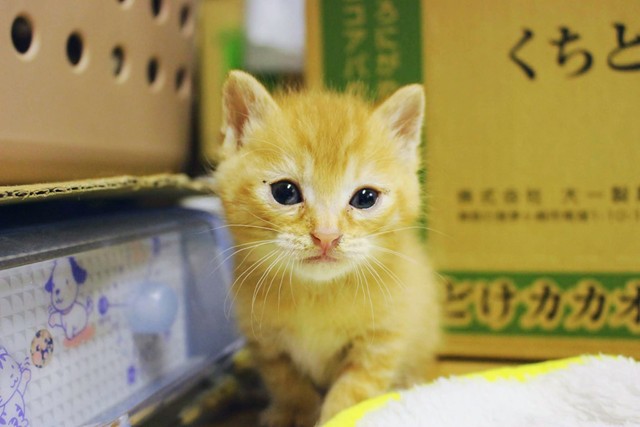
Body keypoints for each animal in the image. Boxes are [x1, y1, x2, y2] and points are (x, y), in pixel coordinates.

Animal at [214, 72, 440, 426]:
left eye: (365, 198)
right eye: (285, 192)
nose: (326, 236)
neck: (316, 294)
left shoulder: (382, 341)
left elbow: (351, 393)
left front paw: (333, 416)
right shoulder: (266, 343)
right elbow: (287, 383)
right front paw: (293, 412)